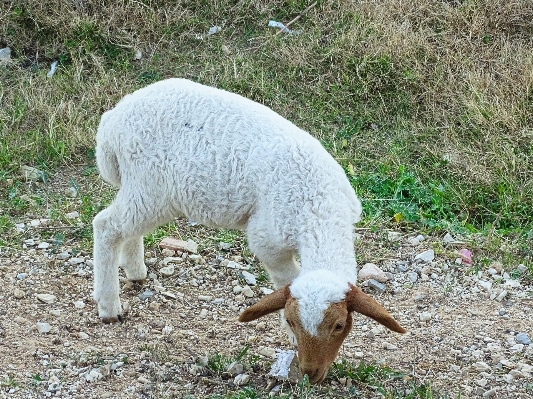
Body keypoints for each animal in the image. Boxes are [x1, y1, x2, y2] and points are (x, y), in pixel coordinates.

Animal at [93, 78, 406, 384]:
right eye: (292, 320)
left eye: (340, 325)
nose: (311, 373)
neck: (320, 209)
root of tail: (113, 121)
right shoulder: (268, 240)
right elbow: (287, 279)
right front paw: (291, 338)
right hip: (151, 186)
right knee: (106, 225)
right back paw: (109, 306)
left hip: (143, 190)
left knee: (127, 228)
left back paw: (135, 271)